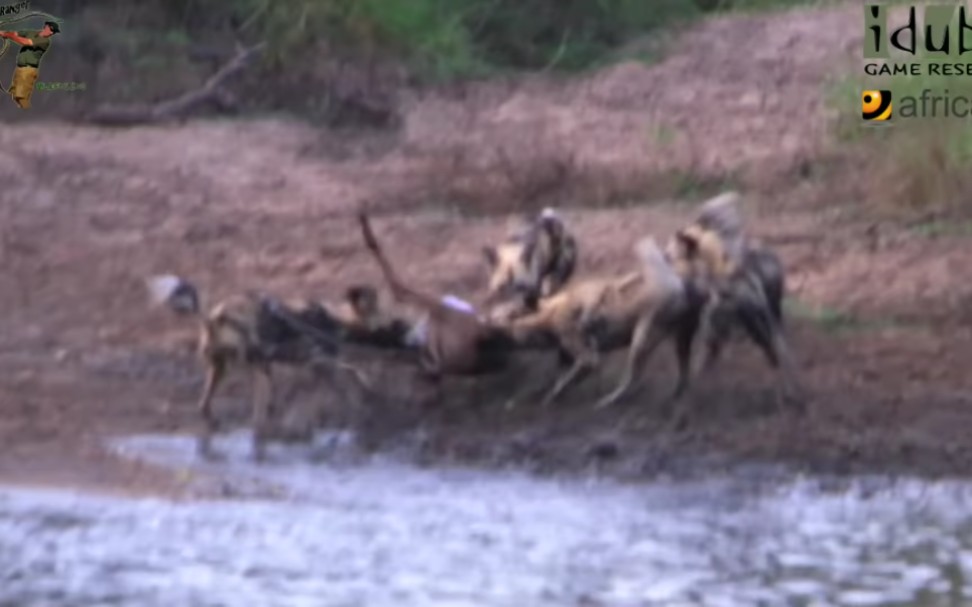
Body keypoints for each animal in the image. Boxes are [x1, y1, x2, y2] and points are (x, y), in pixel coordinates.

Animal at [147, 276, 388, 460]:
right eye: (384, 313)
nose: (391, 328)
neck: (338, 319)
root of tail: (217, 316)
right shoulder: (321, 366)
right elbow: (351, 380)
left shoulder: (313, 369)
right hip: (258, 367)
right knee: (257, 422)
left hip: (225, 370)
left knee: (205, 405)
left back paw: (216, 426)